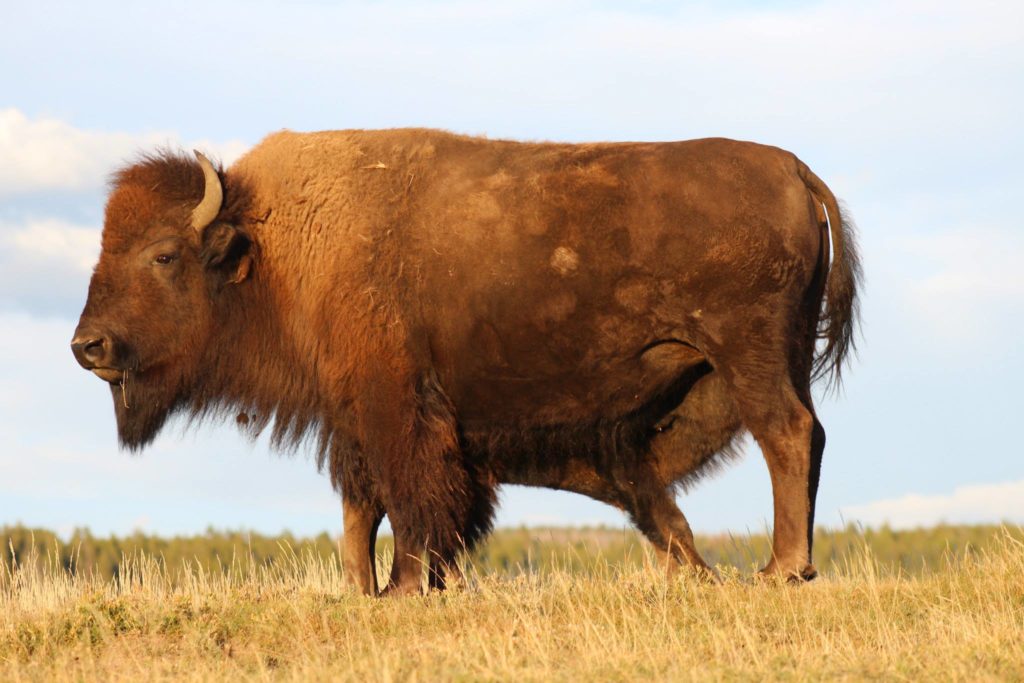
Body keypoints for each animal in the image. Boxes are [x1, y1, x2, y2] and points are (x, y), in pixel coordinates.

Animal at [70, 127, 856, 593]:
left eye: (163, 255)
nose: (88, 346)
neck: (279, 245)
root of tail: (793, 168)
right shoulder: (353, 415)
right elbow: (362, 504)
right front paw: (364, 588)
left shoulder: (396, 407)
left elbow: (410, 501)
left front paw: (405, 585)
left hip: (749, 359)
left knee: (789, 434)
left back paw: (784, 569)